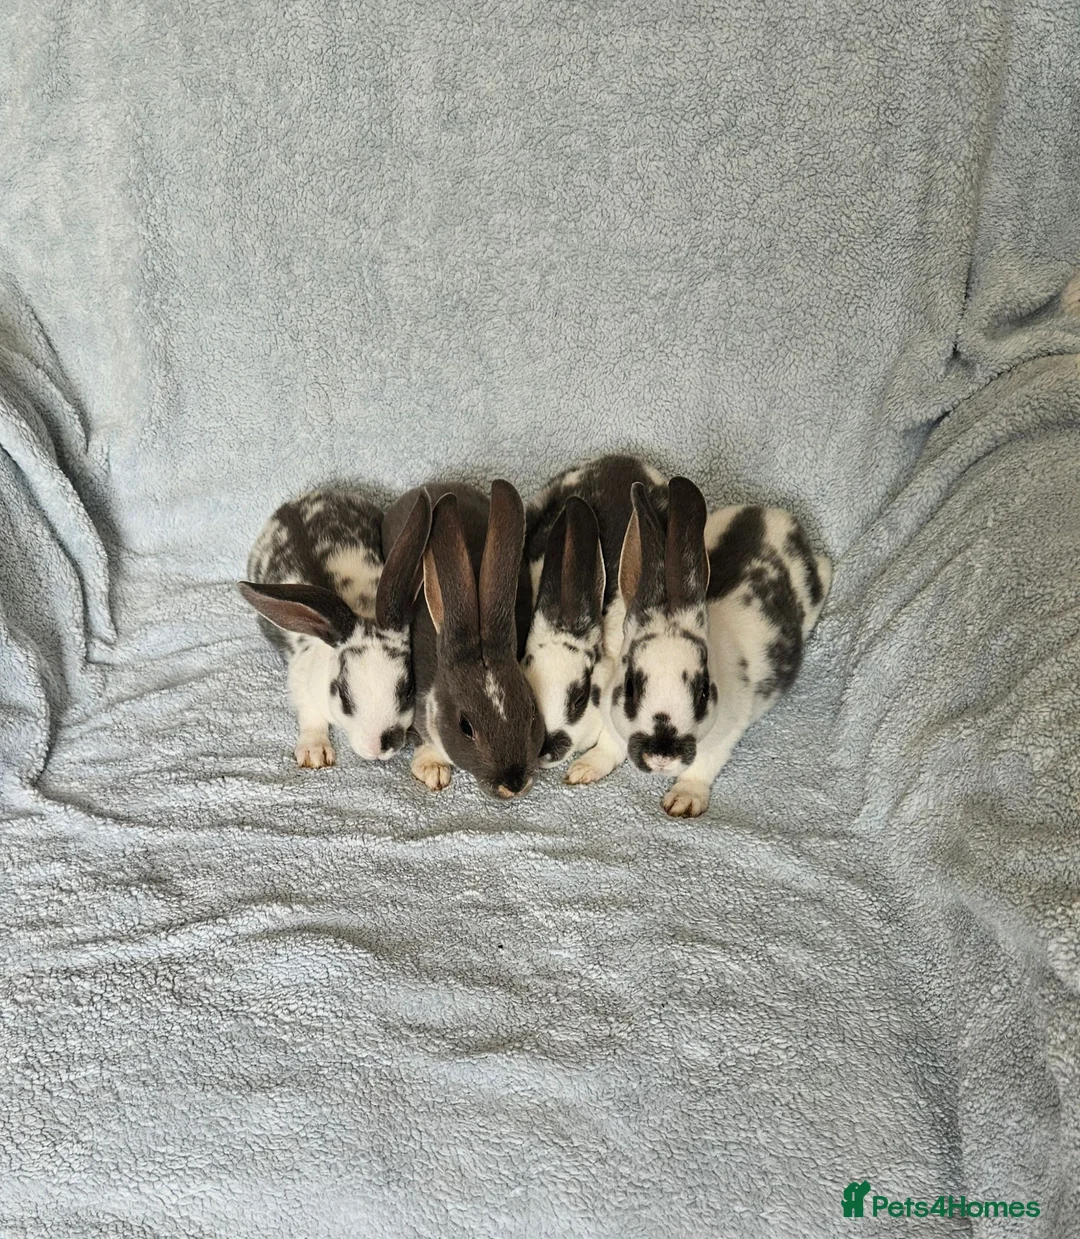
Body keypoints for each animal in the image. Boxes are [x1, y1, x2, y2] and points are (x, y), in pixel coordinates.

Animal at [238, 486, 431, 768]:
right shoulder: (301, 679)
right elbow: (311, 716)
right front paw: (314, 753)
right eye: (343, 696)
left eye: (408, 691)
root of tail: (298, 501)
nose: (379, 748)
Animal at [596, 475, 831, 817]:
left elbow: (702, 767)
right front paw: (585, 768)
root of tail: (779, 517)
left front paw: (683, 800)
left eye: (704, 692)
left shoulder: (725, 734)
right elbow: (608, 745)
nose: (662, 757)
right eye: (630, 688)